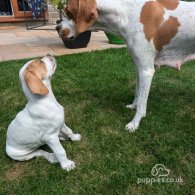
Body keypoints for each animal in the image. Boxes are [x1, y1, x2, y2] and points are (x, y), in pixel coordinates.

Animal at [56, 0, 195, 132]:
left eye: (68, 11)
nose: (57, 27)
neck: (128, 13)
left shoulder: (146, 71)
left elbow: (142, 105)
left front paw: (134, 123)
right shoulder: (138, 68)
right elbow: (138, 93)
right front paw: (133, 106)